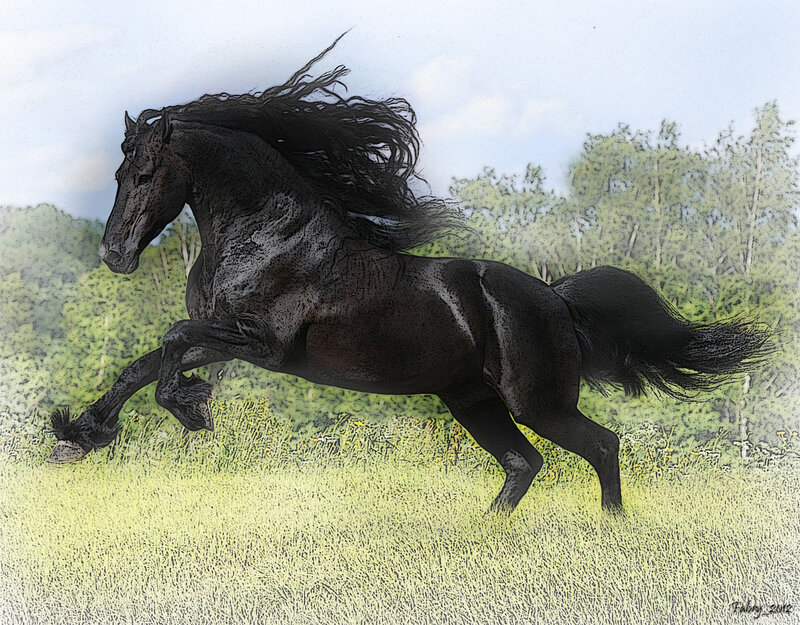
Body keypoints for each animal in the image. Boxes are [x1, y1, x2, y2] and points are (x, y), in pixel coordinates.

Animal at [49, 39, 771, 513]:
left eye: (146, 173)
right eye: (119, 172)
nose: (114, 254)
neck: (265, 233)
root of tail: (556, 299)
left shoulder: (264, 343)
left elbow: (169, 342)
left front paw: (190, 407)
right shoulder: (228, 335)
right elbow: (141, 364)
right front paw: (78, 437)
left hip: (536, 400)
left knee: (601, 444)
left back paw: (609, 530)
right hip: (474, 401)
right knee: (525, 462)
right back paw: (486, 536)